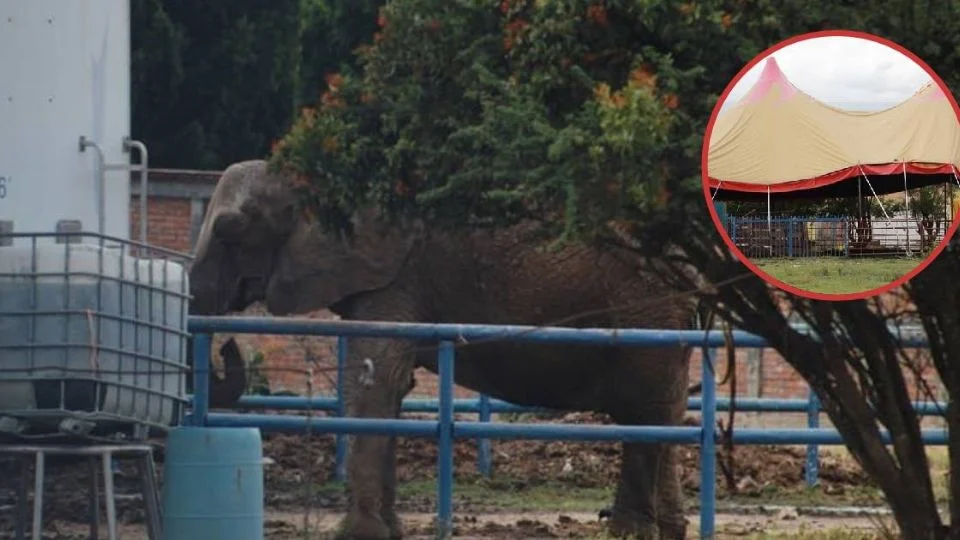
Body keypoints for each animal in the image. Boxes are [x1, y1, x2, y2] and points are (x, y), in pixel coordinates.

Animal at [188, 160, 696, 540]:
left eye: (232, 229)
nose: (229, 344)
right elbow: (393, 387)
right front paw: (388, 531)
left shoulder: (393, 275)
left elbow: (376, 379)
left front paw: (362, 534)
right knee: (663, 410)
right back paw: (667, 530)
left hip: (645, 304)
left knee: (643, 413)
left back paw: (629, 532)